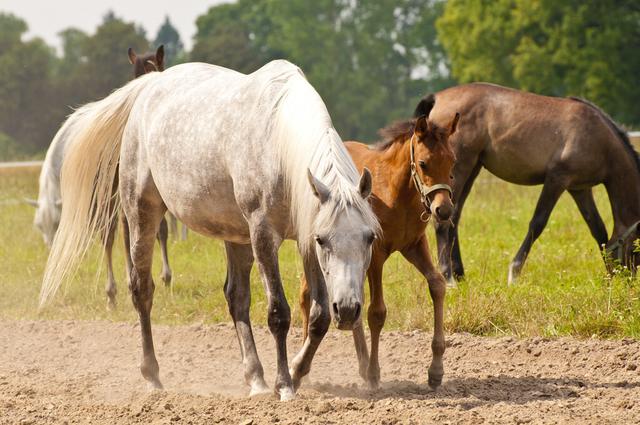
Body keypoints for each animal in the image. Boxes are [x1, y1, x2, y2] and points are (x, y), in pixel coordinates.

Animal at [38, 60, 380, 400]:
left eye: (369, 238)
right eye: (324, 240)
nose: (348, 309)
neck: (279, 142)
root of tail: (149, 85)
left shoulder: (303, 233)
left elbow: (319, 316)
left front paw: (296, 372)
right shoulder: (265, 233)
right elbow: (278, 313)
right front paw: (284, 385)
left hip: (236, 235)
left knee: (236, 297)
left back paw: (255, 378)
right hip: (142, 212)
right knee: (141, 290)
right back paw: (153, 376)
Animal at [300, 107, 460, 390]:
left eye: (452, 162)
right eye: (423, 163)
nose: (443, 210)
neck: (395, 190)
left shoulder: (415, 245)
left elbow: (437, 285)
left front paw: (436, 370)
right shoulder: (376, 255)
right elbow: (376, 312)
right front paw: (375, 373)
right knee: (306, 294)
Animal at [420, 81, 640, 284]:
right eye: (637, 248)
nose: (629, 279)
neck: (598, 139)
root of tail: (437, 98)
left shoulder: (579, 189)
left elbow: (598, 229)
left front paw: (610, 273)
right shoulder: (557, 180)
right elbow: (538, 222)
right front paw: (514, 273)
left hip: (472, 168)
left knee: (454, 217)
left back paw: (460, 275)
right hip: (460, 168)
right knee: (442, 220)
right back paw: (448, 278)